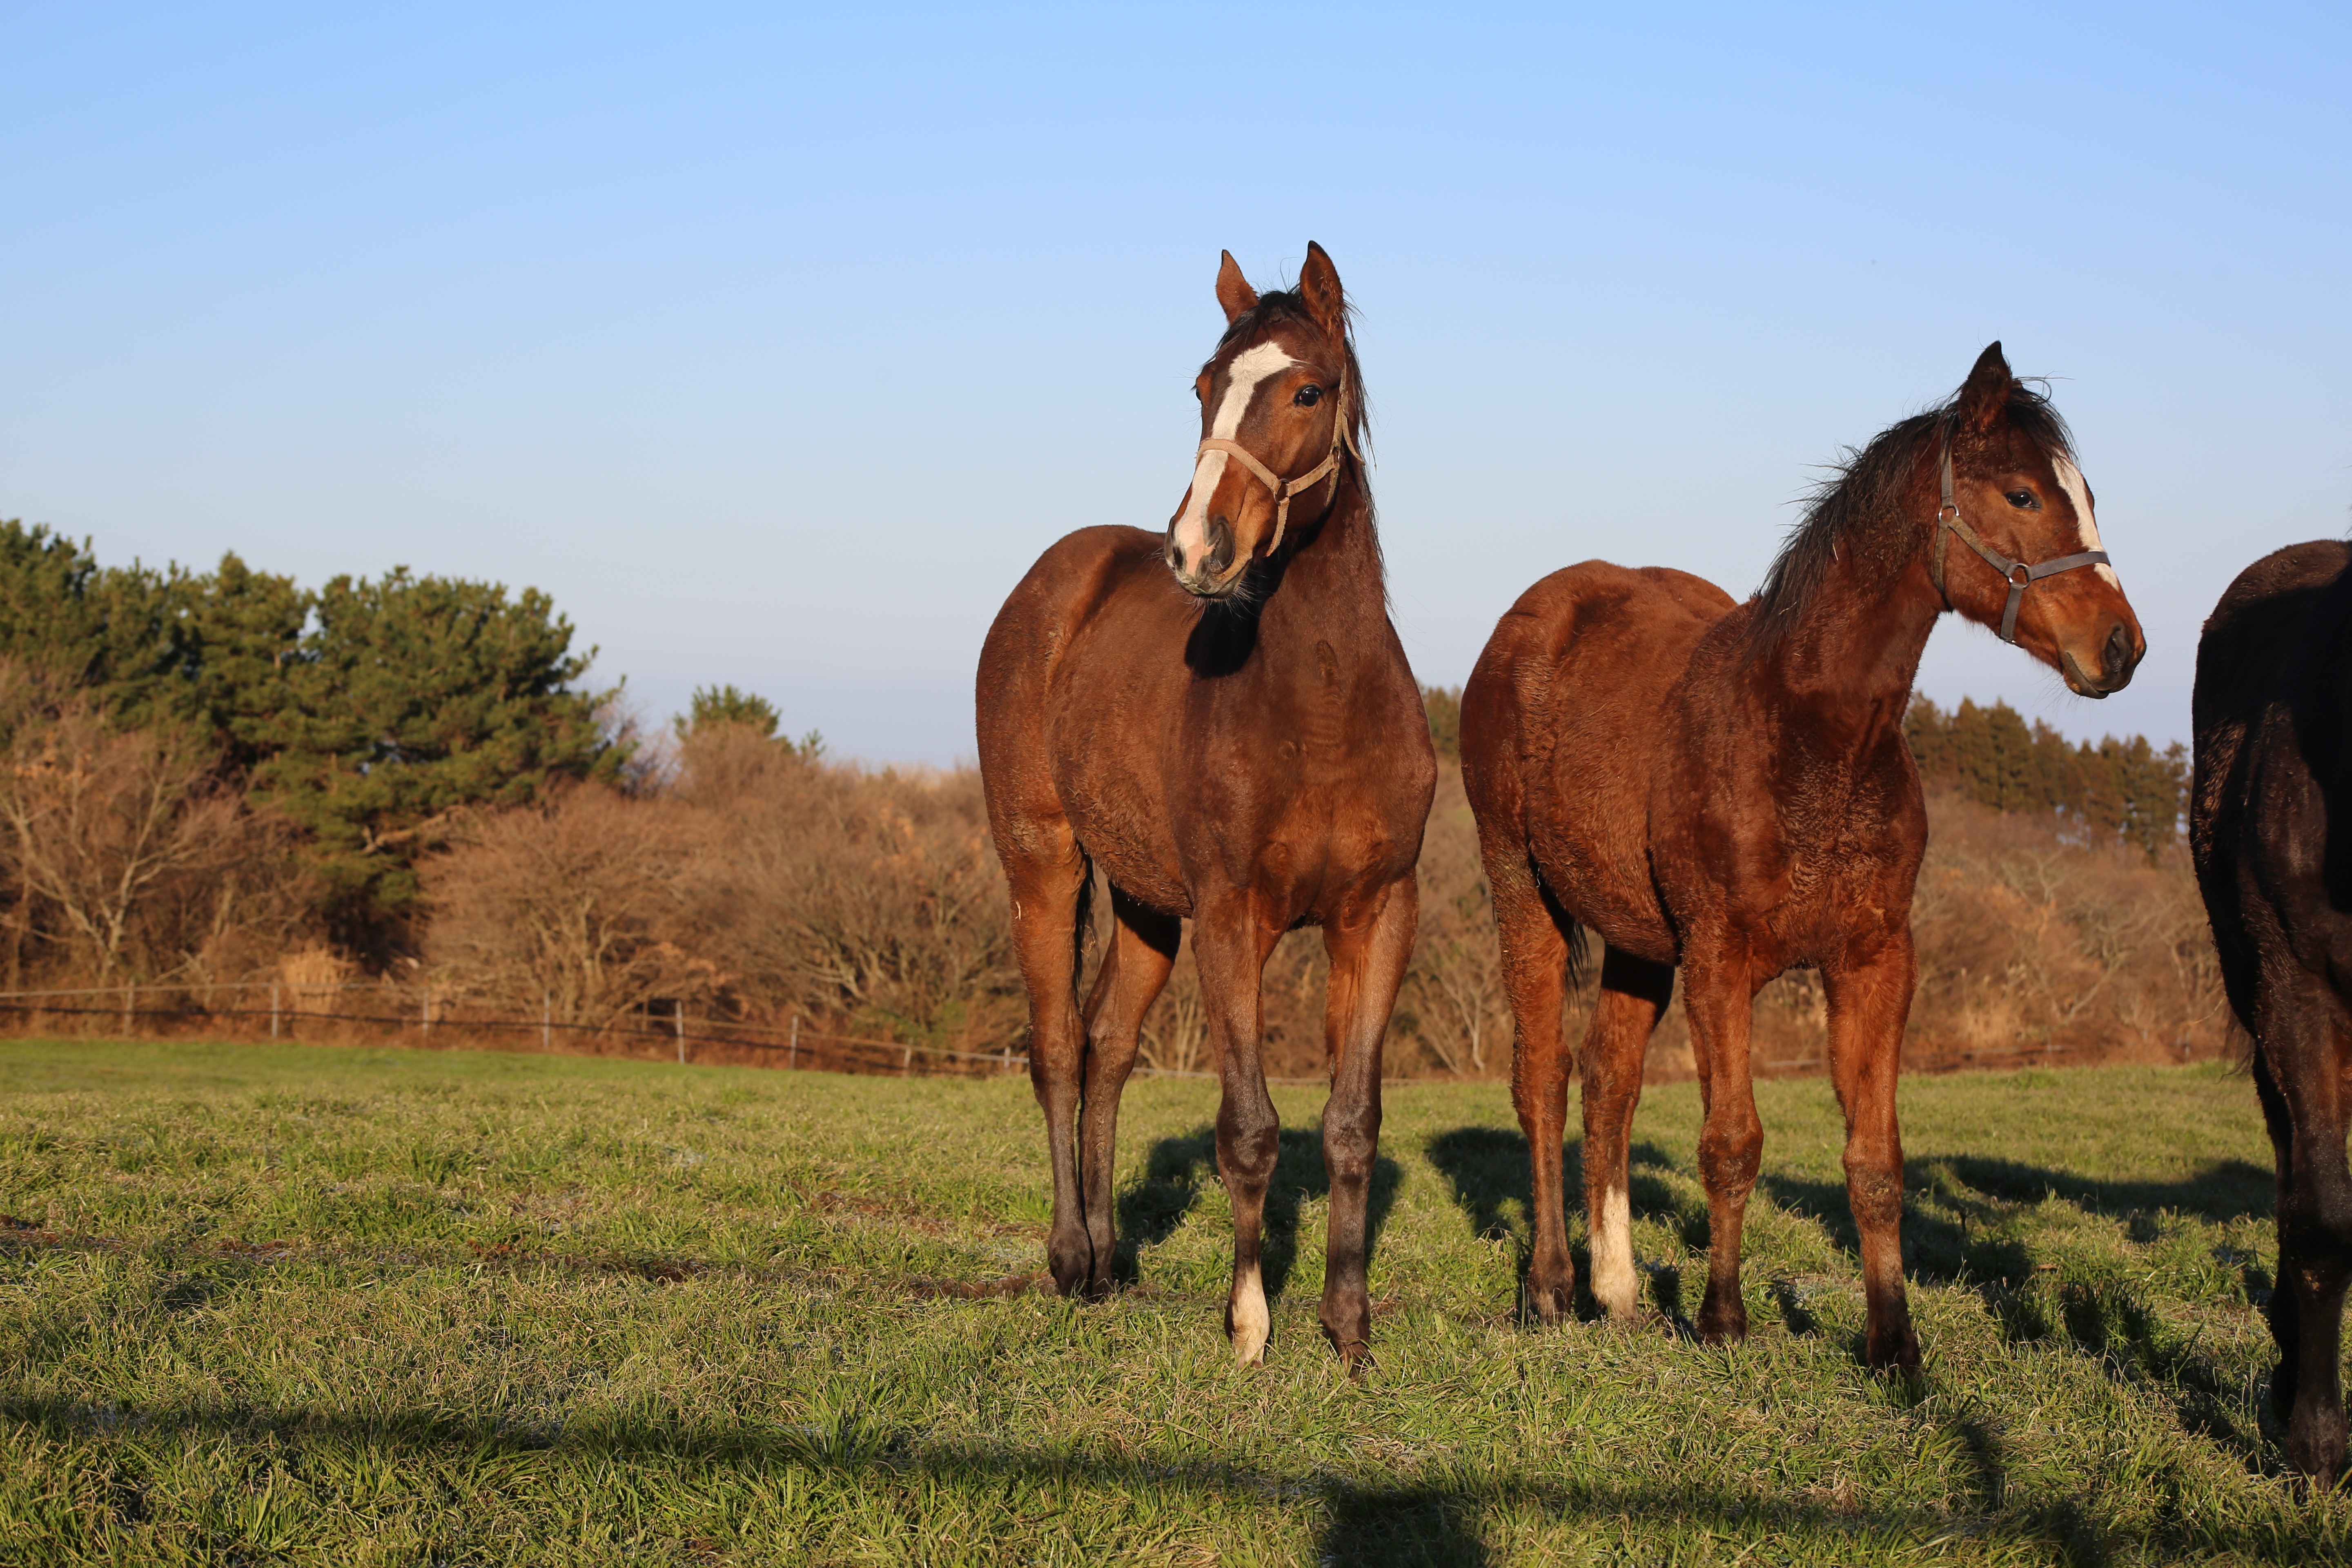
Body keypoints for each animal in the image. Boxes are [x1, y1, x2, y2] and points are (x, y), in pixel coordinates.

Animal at [973, 242, 1430, 1363]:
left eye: (1307, 390)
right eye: (1201, 388)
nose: (1195, 550)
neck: (1323, 709)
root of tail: (1052, 583)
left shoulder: (1377, 915)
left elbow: (1350, 1124)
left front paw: (1348, 1328)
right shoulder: (1235, 917)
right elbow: (1249, 1129)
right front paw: (1249, 1323)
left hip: (1145, 906)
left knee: (1105, 1047)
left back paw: (1105, 1262)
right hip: (1044, 864)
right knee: (1058, 1048)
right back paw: (1066, 1259)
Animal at [1468, 341, 2154, 1363]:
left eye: (2088, 494)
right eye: (2025, 495)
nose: (2120, 647)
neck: (1806, 733)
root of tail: (1530, 621)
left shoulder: (1874, 960)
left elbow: (1874, 1160)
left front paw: (1894, 1345)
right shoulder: (1721, 961)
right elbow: (1731, 1144)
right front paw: (1722, 1320)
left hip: (1636, 939)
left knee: (1610, 1083)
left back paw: (1619, 1291)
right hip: (1526, 895)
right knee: (1543, 1081)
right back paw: (1553, 1288)